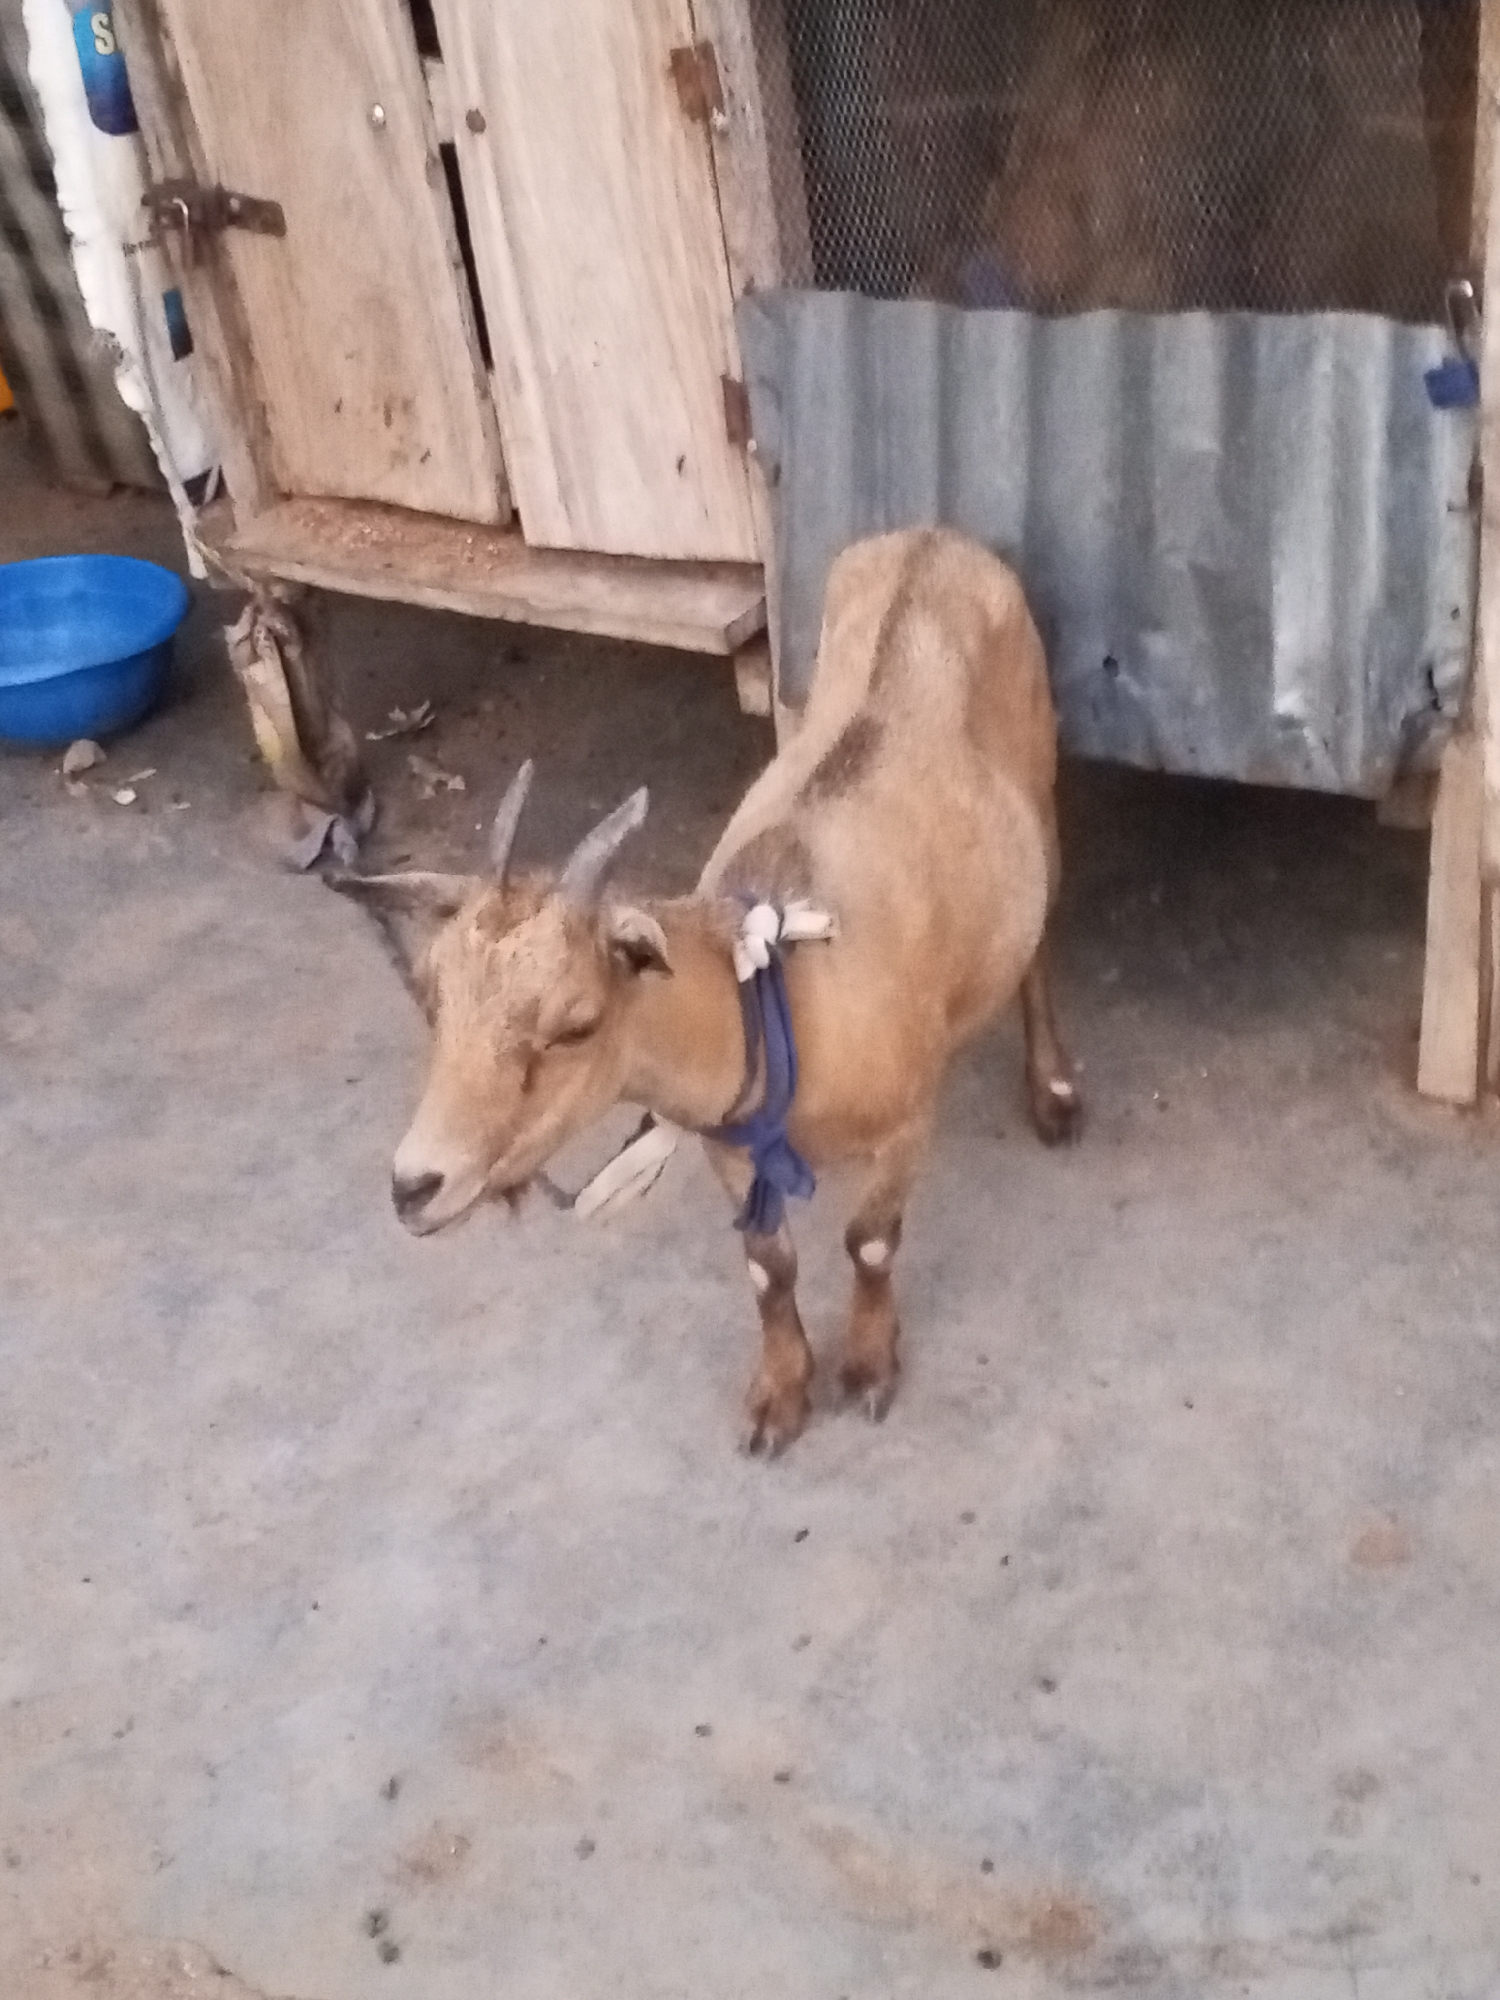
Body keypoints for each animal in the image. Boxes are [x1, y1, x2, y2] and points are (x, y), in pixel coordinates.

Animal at [333, 528, 1080, 1452]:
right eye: (434, 995)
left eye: (576, 1023)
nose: (414, 1187)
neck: (784, 999)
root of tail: (936, 538)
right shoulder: (726, 1140)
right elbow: (768, 1266)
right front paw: (780, 1394)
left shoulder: (906, 1122)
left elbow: (869, 1242)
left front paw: (870, 1367)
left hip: (1039, 777)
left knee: (1041, 927)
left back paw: (1054, 1091)